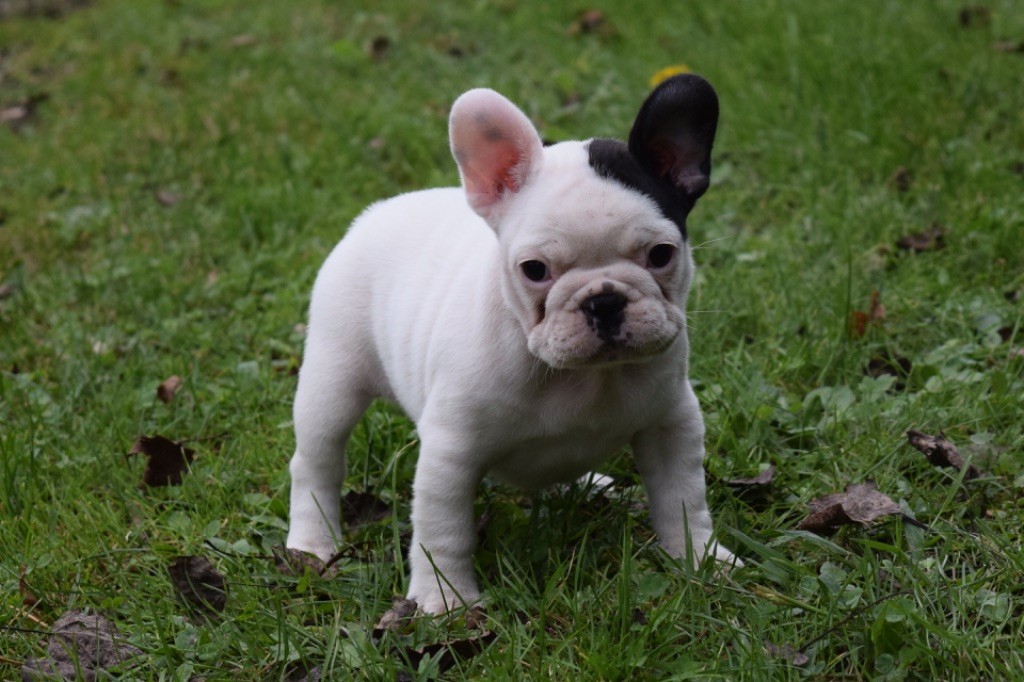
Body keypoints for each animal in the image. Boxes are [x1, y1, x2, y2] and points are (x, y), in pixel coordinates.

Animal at [286, 74, 740, 615]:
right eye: (535, 270)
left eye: (661, 254)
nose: (604, 299)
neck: (581, 378)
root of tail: (378, 212)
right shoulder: (451, 451)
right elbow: (443, 532)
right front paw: (445, 601)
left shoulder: (670, 423)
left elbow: (682, 499)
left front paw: (701, 560)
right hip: (333, 380)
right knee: (317, 460)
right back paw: (313, 541)